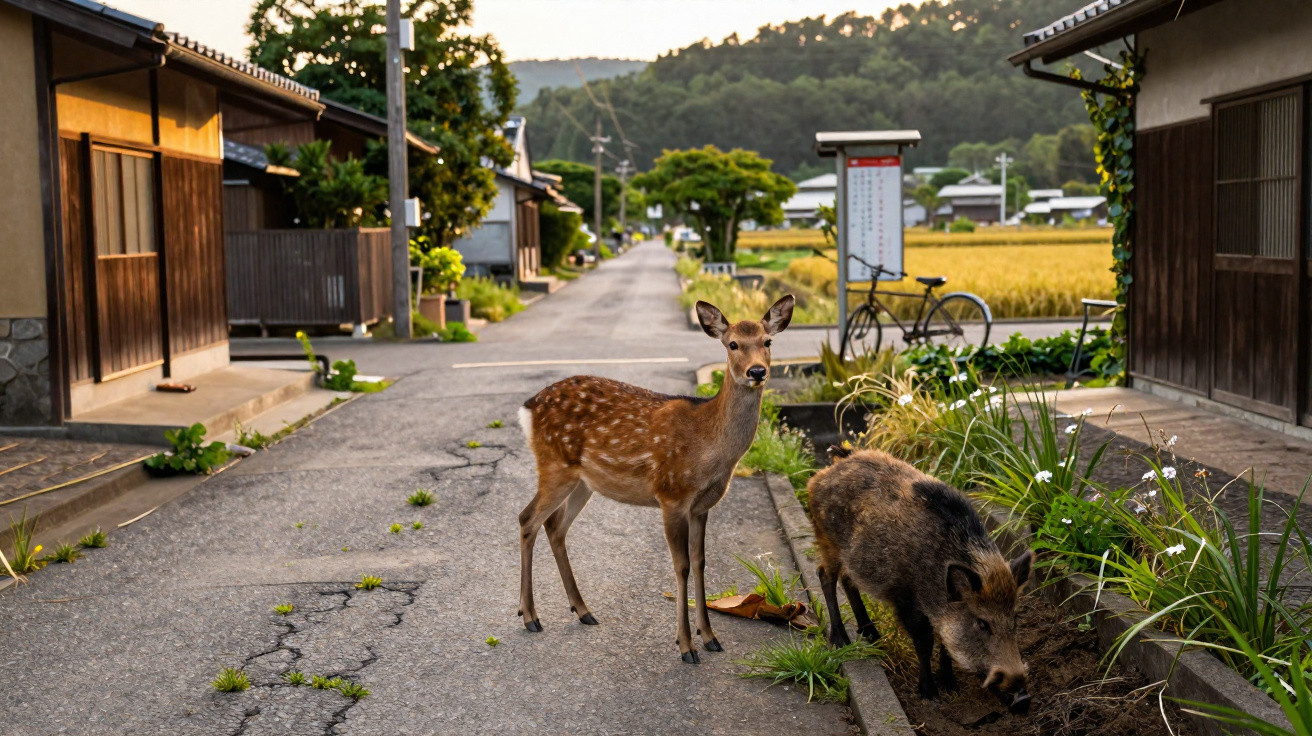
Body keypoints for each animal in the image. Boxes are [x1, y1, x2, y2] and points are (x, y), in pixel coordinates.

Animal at [516, 295, 795, 663]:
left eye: (768, 342)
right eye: (732, 344)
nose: (757, 371)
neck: (711, 450)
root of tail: (528, 407)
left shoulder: (702, 505)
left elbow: (701, 562)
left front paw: (710, 637)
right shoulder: (672, 495)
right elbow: (682, 566)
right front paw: (686, 646)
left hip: (582, 482)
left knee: (555, 525)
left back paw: (583, 610)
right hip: (554, 465)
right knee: (527, 519)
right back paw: (530, 616)